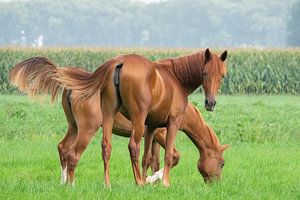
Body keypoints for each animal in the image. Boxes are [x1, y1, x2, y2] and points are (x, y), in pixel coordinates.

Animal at [9, 54, 230, 186]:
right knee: (73, 153)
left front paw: (149, 179)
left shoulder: (152, 130)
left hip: (74, 127)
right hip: (87, 129)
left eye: (223, 76)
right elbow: (171, 156)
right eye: (222, 163)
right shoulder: (163, 130)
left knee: (64, 148)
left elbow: (152, 158)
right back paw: (72, 184)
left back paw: (66, 182)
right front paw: (153, 180)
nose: (216, 185)